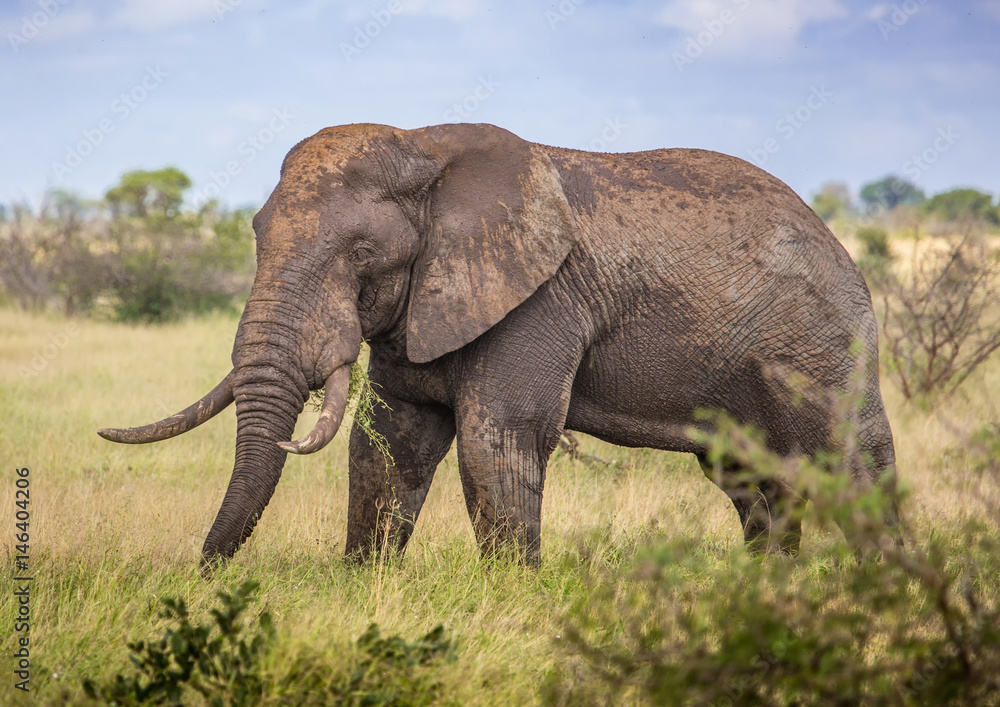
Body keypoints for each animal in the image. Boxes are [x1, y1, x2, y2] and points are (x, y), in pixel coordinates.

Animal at [99, 120, 900, 564]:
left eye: (361, 255)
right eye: (256, 234)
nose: (204, 574)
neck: (424, 150)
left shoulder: (539, 300)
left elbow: (500, 434)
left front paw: (511, 591)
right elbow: (390, 438)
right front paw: (363, 582)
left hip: (824, 345)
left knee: (852, 460)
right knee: (753, 480)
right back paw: (770, 585)